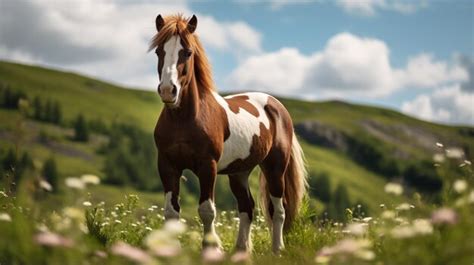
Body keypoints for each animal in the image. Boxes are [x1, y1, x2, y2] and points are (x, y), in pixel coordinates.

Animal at [150, 13, 310, 252]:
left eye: (187, 52)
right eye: (159, 51)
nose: (169, 91)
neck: (184, 120)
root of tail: (277, 106)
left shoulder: (208, 166)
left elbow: (206, 210)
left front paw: (211, 249)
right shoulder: (168, 165)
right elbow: (171, 212)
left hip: (275, 168)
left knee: (279, 210)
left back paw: (277, 250)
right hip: (239, 172)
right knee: (247, 207)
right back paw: (241, 250)